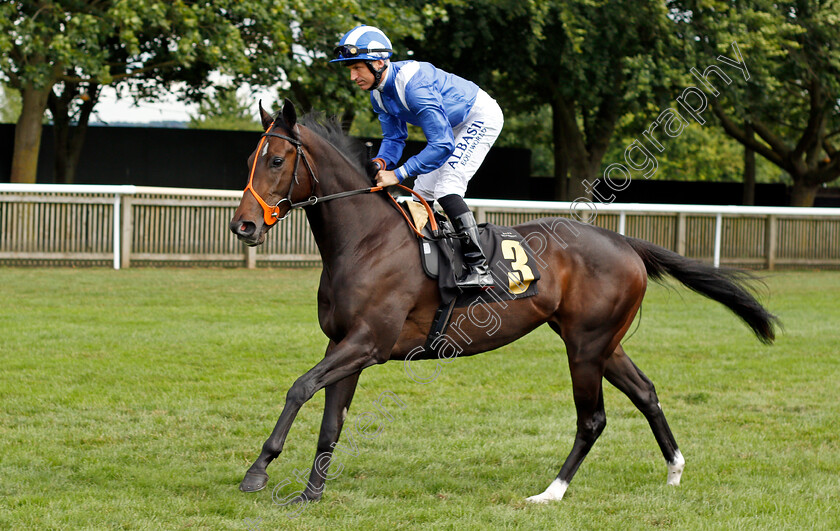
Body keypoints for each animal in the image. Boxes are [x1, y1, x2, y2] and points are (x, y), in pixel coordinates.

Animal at [228, 101, 776, 508]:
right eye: (251, 159)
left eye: (276, 161)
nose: (244, 225)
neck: (367, 240)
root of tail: (624, 242)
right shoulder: (345, 342)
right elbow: (331, 418)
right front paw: (310, 493)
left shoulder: (368, 343)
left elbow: (300, 388)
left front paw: (258, 470)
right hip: (602, 342)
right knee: (645, 392)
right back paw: (674, 470)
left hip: (585, 346)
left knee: (592, 419)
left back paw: (551, 493)